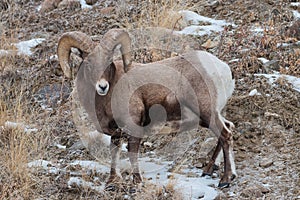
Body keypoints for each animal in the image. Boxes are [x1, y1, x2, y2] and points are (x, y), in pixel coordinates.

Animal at [57, 28, 237, 189]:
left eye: (109, 61)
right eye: (88, 63)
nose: (102, 87)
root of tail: (223, 69)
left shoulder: (133, 126)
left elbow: (132, 153)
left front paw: (136, 183)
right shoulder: (116, 134)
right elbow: (114, 153)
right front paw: (111, 183)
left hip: (207, 112)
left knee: (225, 134)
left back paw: (226, 180)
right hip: (208, 117)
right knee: (228, 127)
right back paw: (208, 171)